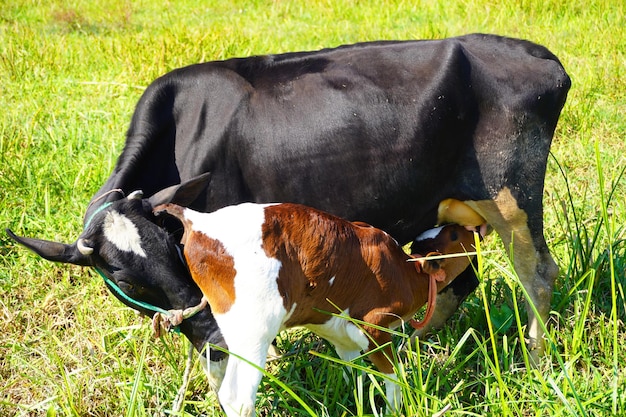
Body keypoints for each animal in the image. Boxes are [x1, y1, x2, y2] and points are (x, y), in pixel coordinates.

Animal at [7, 34, 568, 370]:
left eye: (177, 250)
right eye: (124, 280)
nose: (213, 341)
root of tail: (539, 56)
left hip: (512, 194)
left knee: (538, 273)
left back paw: (536, 361)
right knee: (459, 279)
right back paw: (410, 345)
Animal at [156, 202, 478, 412]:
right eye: (454, 235)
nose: (475, 228)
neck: (408, 272)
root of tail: (199, 220)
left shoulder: (341, 333)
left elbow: (353, 371)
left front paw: (353, 401)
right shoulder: (374, 324)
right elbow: (394, 375)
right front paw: (395, 409)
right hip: (254, 331)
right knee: (238, 398)